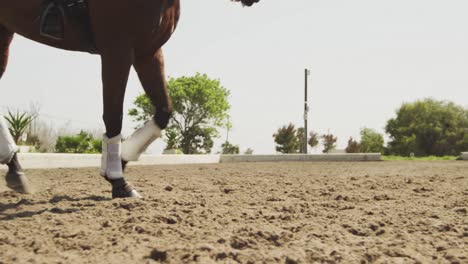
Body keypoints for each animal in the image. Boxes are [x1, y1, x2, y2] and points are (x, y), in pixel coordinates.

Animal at [0, 0, 260, 198]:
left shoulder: (148, 52)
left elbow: (164, 111)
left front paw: (119, 161)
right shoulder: (118, 49)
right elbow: (114, 114)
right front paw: (118, 180)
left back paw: (15, 170)